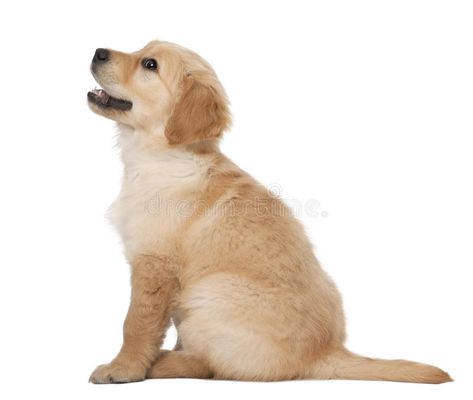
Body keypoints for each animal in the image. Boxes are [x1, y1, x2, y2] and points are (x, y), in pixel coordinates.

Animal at [86, 40, 452, 384]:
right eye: (141, 50)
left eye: (150, 65)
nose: (98, 51)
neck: (160, 155)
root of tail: (323, 352)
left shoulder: (153, 264)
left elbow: (137, 323)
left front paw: (123, 368)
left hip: (209, 291)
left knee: (211, 365)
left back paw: (163, 364)